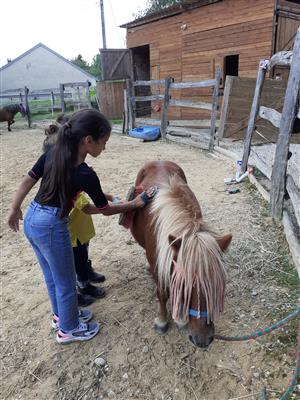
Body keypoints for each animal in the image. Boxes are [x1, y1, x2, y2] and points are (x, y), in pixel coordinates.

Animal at [129, 161, 232, 348]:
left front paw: (180, 320)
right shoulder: (159, 267)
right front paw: (162, 321)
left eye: (218, 284)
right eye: (185, 284)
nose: (203, 340)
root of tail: (159, 160)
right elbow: (162, 293)